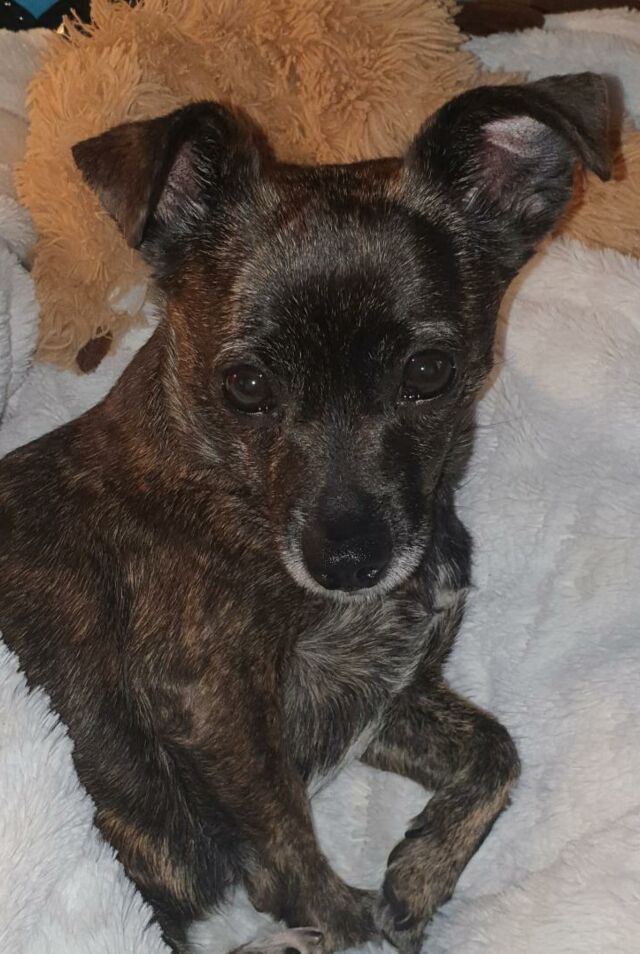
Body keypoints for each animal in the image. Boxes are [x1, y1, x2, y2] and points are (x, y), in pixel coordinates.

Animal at [0, 73, 610, 954]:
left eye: (428, 372)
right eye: (246, 385)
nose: (349, 562)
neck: (222, 479)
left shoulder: (387, 694)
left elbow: (498, 751)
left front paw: (417, 878)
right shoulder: (214, 699)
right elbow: (288, 843)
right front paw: (349, 924)